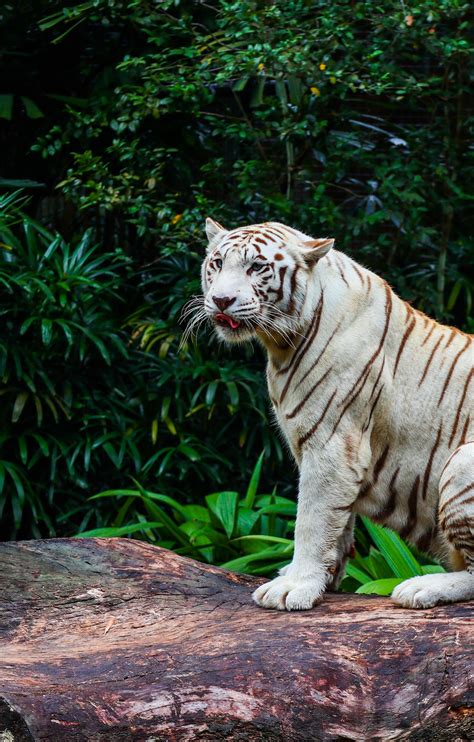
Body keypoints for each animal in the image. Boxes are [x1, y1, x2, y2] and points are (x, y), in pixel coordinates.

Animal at [193, 218, 474, 612]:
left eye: (257, 267)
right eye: (217, 264)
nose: (221, 300)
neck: (282, 345)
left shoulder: (332, 444)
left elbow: (311, 520)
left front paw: (293, 587)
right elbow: (337, 522)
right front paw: (324, 579)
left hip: (463, 462)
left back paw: (420, 587)